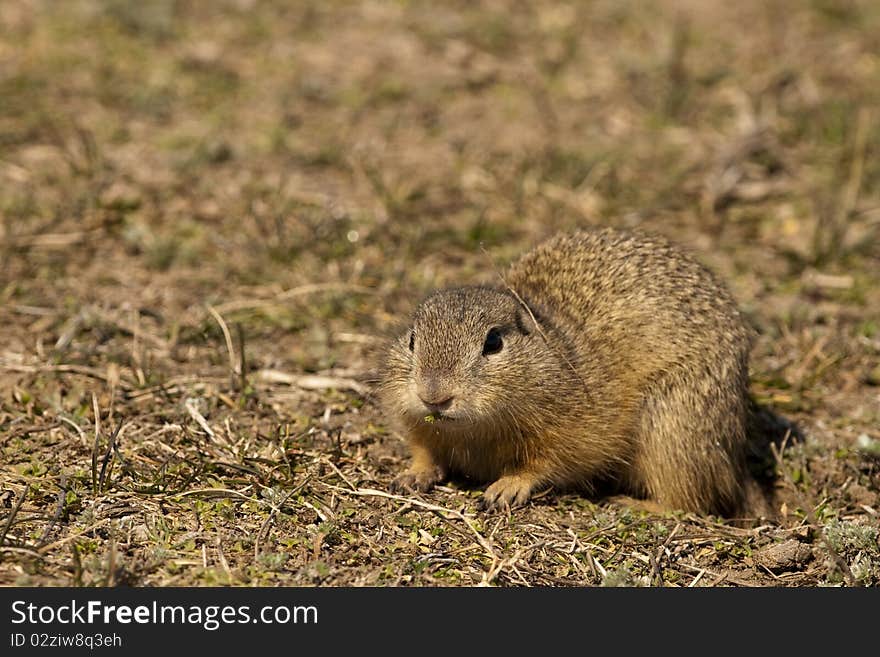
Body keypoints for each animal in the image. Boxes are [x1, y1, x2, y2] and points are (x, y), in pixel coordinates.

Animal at [382, 227, 768, 516]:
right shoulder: (422, 426)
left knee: (689, 502)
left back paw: (629, 503)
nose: (433, 396)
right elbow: (425, 450)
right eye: (412, 339)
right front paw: (411, 475)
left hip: (672, 431)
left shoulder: (575, 433)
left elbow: (546, 464)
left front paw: (507, 487)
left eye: (493, 342)